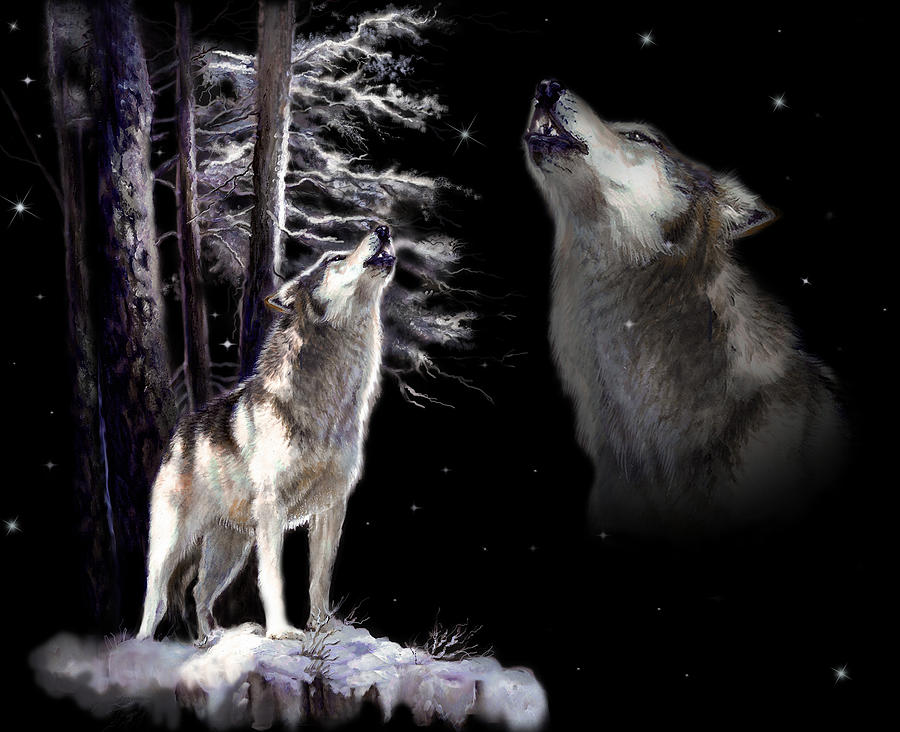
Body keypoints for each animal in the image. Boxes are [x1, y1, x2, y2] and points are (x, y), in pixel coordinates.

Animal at [137, 226, 396, 642]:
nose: (383, 229)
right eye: (333, 259)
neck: (329, 402)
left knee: (199, 592)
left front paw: (324, 627)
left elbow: (320, 578)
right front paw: (281, 632)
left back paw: (211, 640)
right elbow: (272, 578)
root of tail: (178, 434)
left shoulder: (331, 507)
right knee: (156, 598)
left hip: (231, 547)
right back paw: (143, 645)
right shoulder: (273, 509)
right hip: (174, 543)